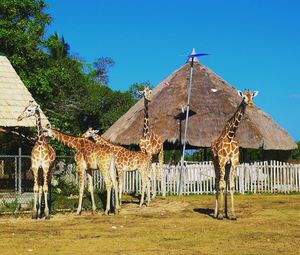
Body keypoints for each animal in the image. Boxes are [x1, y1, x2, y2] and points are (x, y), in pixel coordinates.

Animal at [211, 89, 258, 219]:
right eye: (244, 98)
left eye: (252, 97)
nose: (251, 104)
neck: (231, 135)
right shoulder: (222, 160)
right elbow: (221, 185)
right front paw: (220, 214)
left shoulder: (234, 161)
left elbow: (231, 185)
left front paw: (232, 214)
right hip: (215, 163)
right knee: (217, 182)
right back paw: (216, 212)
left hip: (226, 165)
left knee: (225, 182)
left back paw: (226, 213)